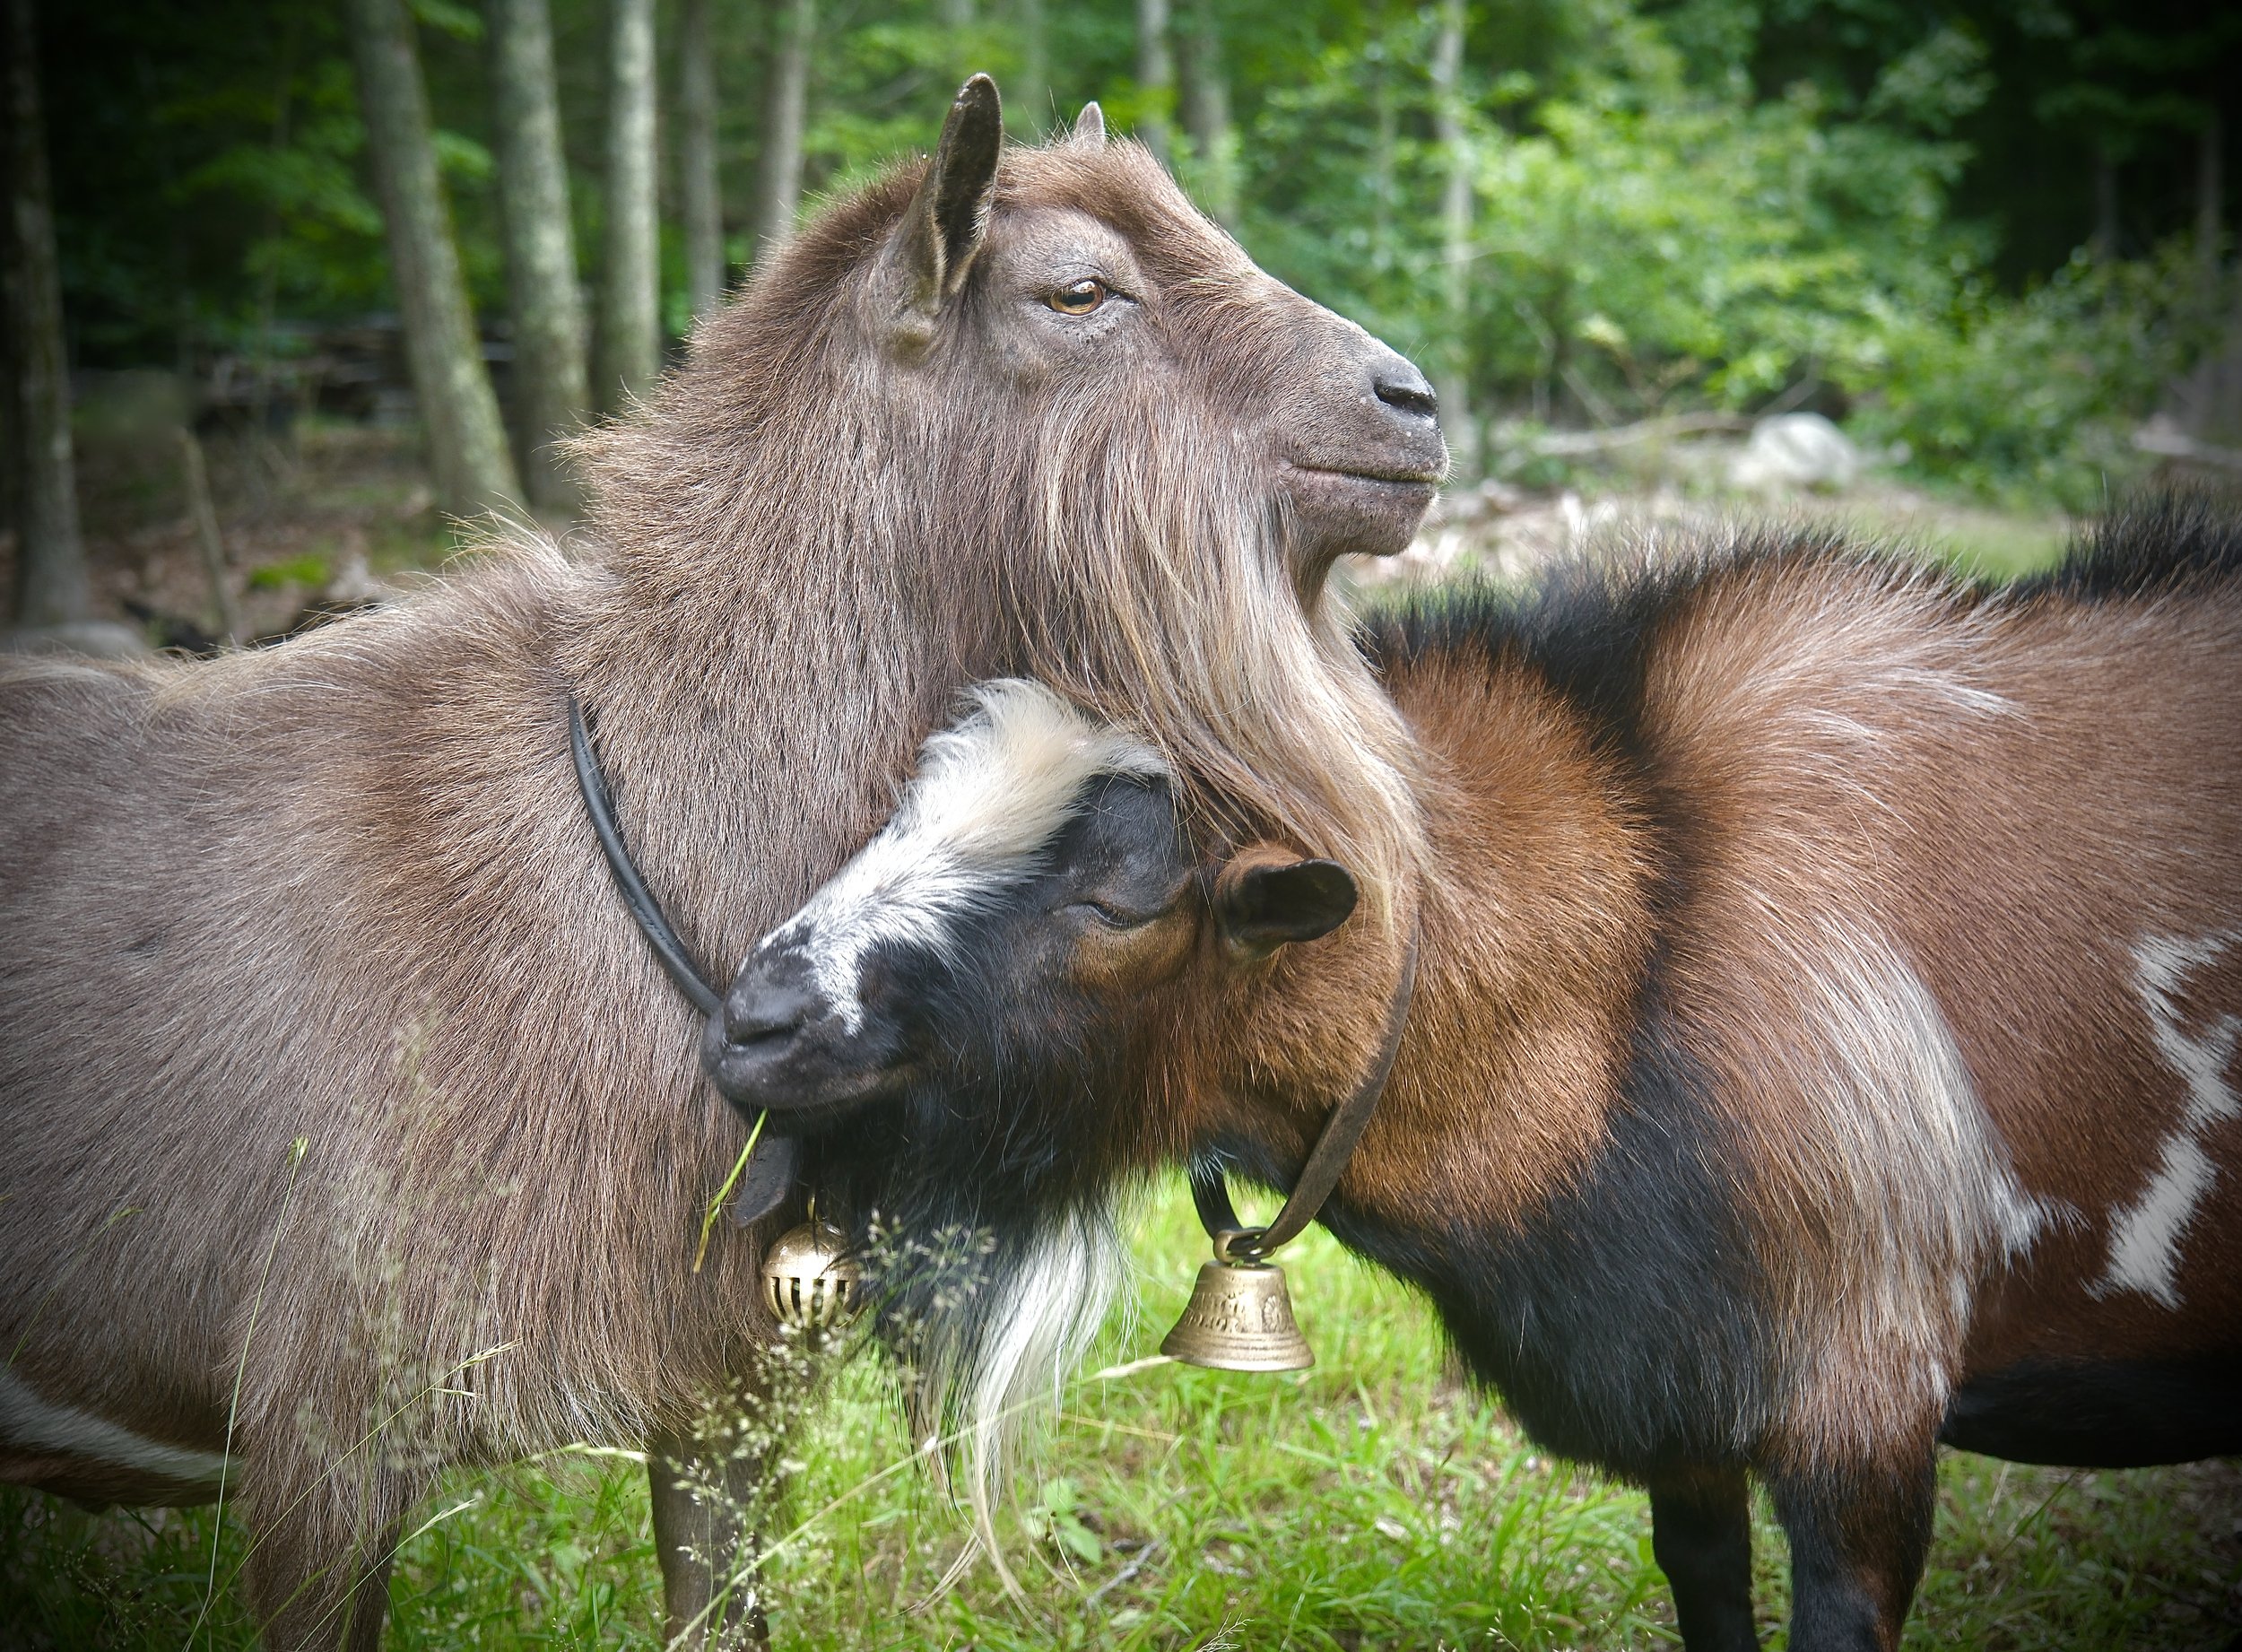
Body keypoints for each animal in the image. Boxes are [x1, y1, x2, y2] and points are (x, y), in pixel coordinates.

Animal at [708, 506, 2242, 1649]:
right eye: (900, 803)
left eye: (1123, 898)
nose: (752, 1021)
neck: (1634, 962)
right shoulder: (1685, 1394)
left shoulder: (1863, 1402)